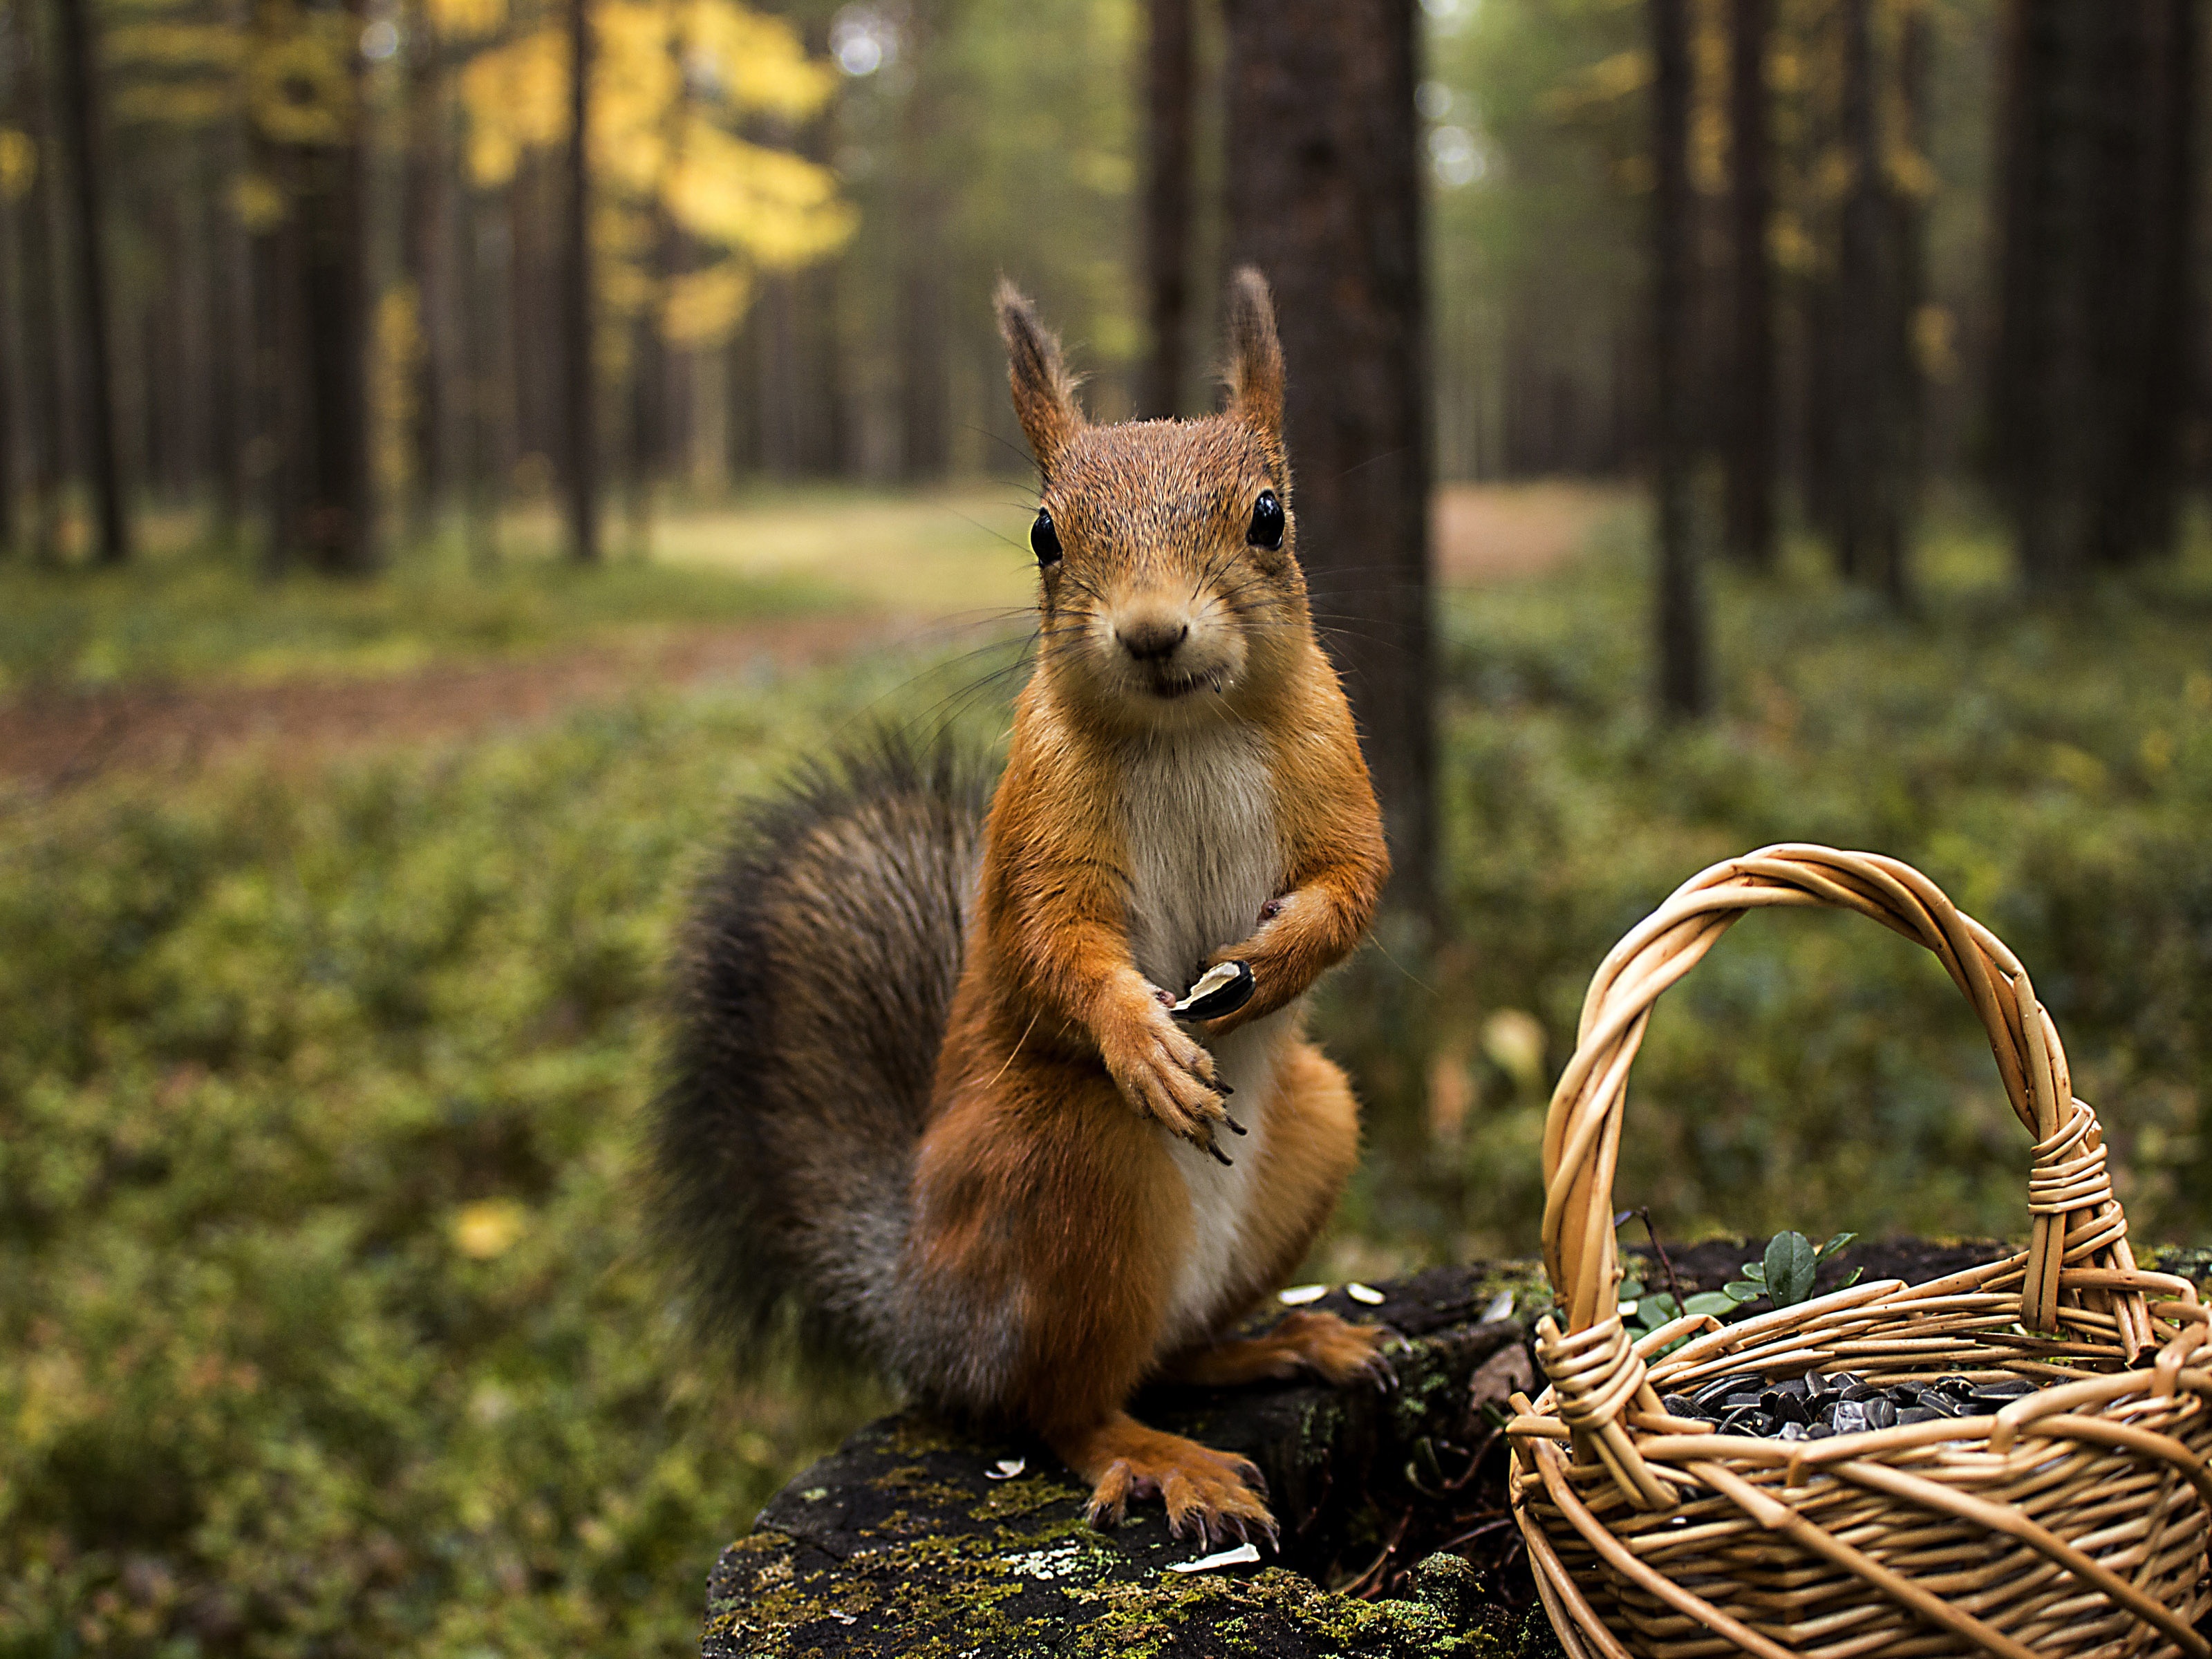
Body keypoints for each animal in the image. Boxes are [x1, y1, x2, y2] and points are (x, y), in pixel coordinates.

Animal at [646, 270, 1389, 1548]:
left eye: (1270, 517)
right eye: (1046, 534)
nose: (1152, 632)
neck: (1190, 730)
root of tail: (923, 1310)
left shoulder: (1335, 770)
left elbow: (1354, 883)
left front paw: (1272, 963)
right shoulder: (1040, 819)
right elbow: (1054, 943)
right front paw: (1146, 1040)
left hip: (1317, 1127)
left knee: (1167, 1355)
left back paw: (1282, 1342)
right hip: (1067, 1165)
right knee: (1060, 1404)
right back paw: (1161, 1457)